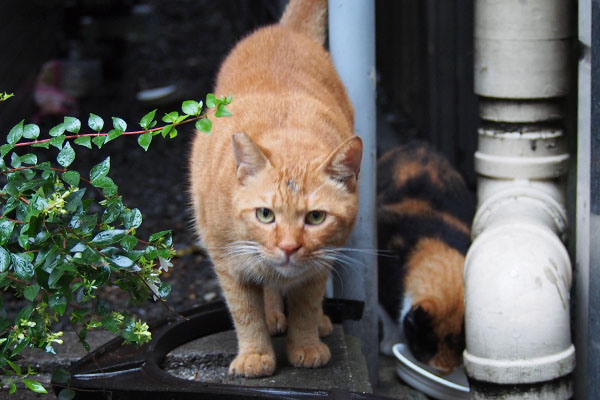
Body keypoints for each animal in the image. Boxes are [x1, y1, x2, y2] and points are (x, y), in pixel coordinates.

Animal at [190, 0, 364, 378]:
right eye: (265, 214)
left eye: (316, 217)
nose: (287, 247)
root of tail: (285, 31)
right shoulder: (227, 259)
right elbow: (245, 312)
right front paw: (255, 354)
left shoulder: (319, 263)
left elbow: (306, 304)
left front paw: (307, 344)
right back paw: (272, 315)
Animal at [380, 141, 474, 372]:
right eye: (427, 344)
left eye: (461, 345)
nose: (444, 370)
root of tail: (419, 144)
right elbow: (387, 311)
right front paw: (390, 344)